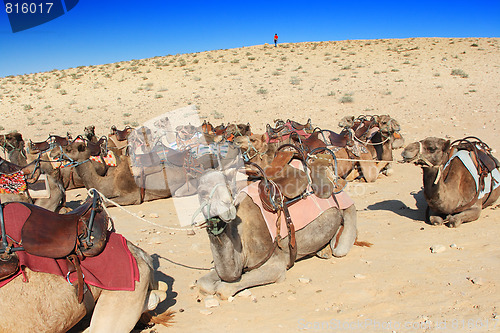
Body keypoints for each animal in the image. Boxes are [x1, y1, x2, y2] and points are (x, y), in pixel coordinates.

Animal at [193, 169, 358, 298]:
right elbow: (203, 283)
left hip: (348, 209)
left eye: (229, 190)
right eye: (202, 192)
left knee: (341, 247)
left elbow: (223, 289)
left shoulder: (275, 265)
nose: (227, 207)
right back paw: (322, 251)